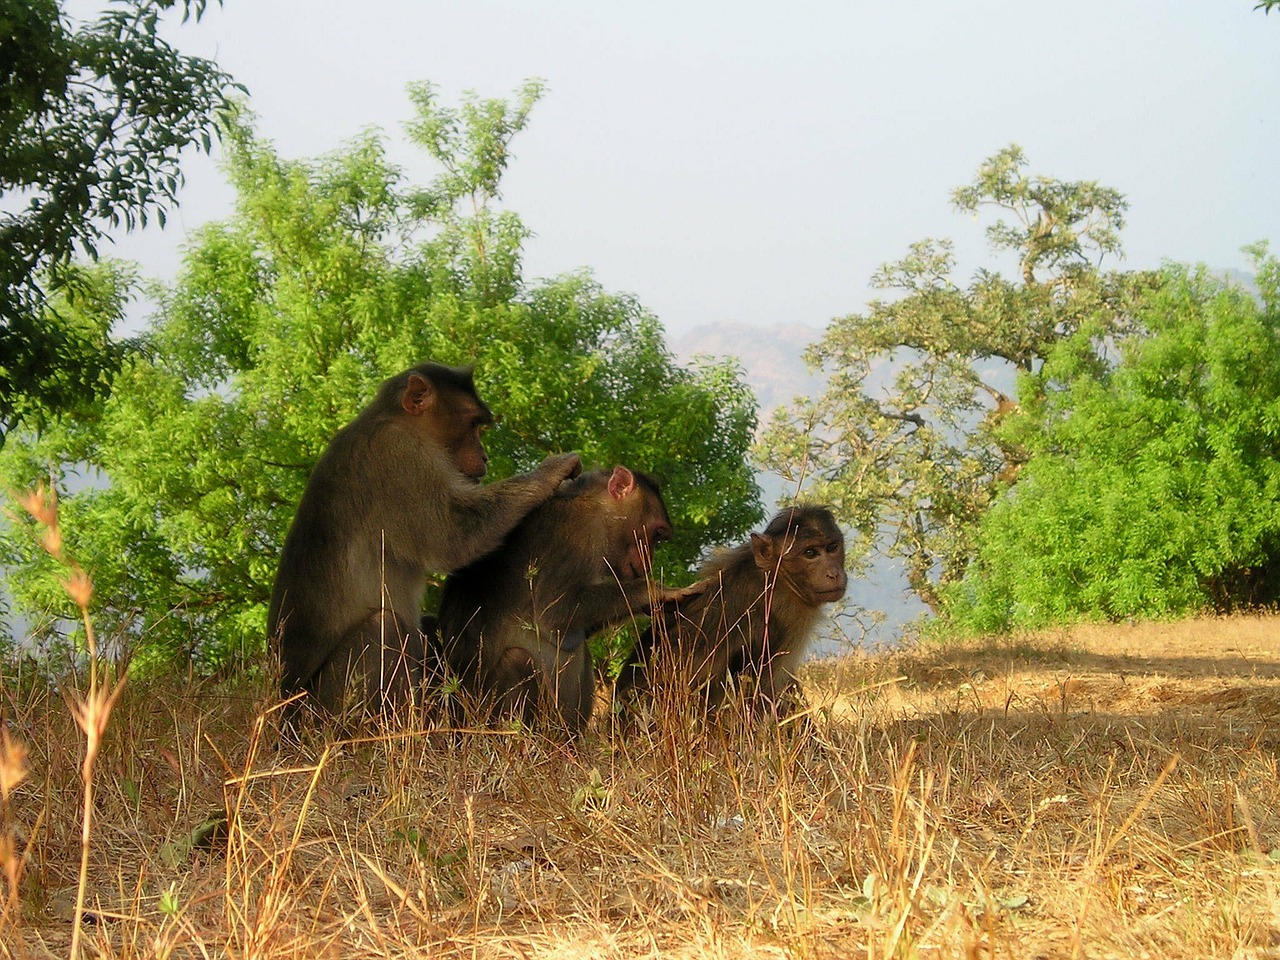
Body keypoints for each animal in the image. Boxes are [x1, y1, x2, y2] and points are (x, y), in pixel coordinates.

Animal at [270, 363, 581, 716]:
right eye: (473, 424)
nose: (484, 456)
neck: (392, 420)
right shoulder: (398, 456)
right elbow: (455, 535)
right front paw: (550, 472)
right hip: (322, 708)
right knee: (384, 627)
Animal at [440, 468, 680, 737]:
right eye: (656, 534)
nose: (649, 560)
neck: (597, 509)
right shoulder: (577, 536)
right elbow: (556, 614)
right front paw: (654, 592)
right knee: (517, 660)